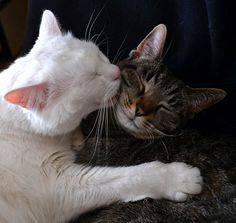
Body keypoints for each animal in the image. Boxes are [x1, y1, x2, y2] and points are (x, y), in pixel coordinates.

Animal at [0, 9, 203, 222]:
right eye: (92, 78)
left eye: (98, 54)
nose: (116, 72)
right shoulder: (61, 188)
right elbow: (128, 177)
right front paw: (178, 178)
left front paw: (76, 137)